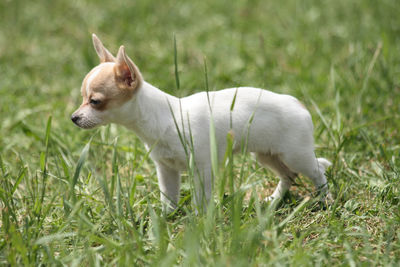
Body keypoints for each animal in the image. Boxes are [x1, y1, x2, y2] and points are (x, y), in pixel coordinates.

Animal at [71, 34, 332, 214]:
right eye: (83, 99)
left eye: (95, 102)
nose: (74, 118)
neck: (165, 118)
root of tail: (299, 104)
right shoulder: (166, 169)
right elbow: (169, 197)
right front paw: (166, 218)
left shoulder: (203, 168)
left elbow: (201, 199)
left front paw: (200, 221)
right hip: (267, 155)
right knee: (289, 175)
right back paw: (274, 200)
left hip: (294, 154)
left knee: (316, 171)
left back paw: (326, 200)